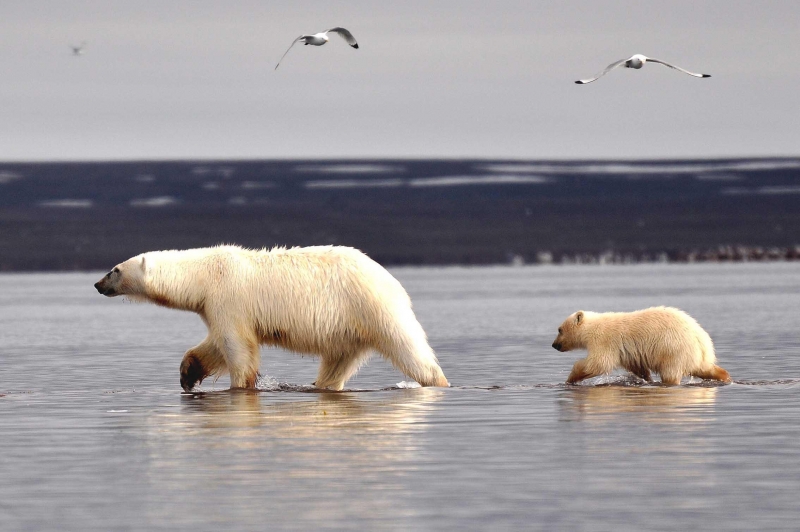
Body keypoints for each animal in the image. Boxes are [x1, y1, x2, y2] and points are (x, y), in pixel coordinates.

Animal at [94, 245, 450, 390]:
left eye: (115, 269)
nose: (97, 284)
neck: (205, 274)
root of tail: (391, 279)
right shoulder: (215, 306)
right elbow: (215, 345)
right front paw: (187, 374)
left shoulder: (228, 298)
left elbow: (237, 347)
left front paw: (241, 385)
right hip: (346, 328)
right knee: (337, 362)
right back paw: (321, 385)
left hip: (371, 307)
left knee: (409, 347)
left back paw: (437, 381)